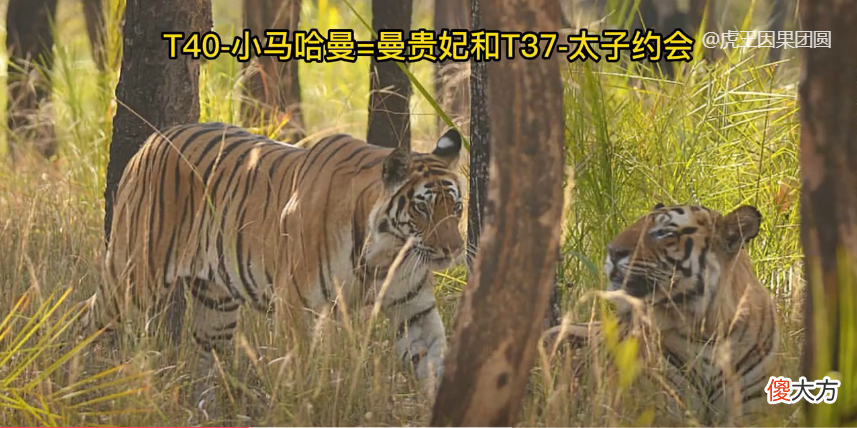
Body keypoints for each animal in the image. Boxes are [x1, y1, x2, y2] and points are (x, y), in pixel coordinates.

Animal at [80, 121, 465, 398]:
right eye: (422, 208)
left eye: (456, 208)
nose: (453, 249)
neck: (386, 252)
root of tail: (153, 140)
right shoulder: (296, 304)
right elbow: (299, 369)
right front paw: (301, 406)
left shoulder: (413, 307)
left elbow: (434, 358)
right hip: (132, 275)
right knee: (90, 319)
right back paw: (82, 383)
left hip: (217, 308)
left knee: (208, 361)